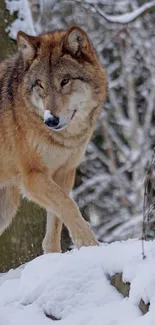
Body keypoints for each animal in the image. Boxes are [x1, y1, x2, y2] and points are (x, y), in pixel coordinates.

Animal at [0, 26, 106, 253]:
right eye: (40, 85)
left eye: (65, 81)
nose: (50, 120)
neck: (64, 139)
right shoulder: (32, 177)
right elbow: (69, 206)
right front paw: (90, 246)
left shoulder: (64, 172)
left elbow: (57, 221)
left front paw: (53, 255)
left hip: (6, 206)